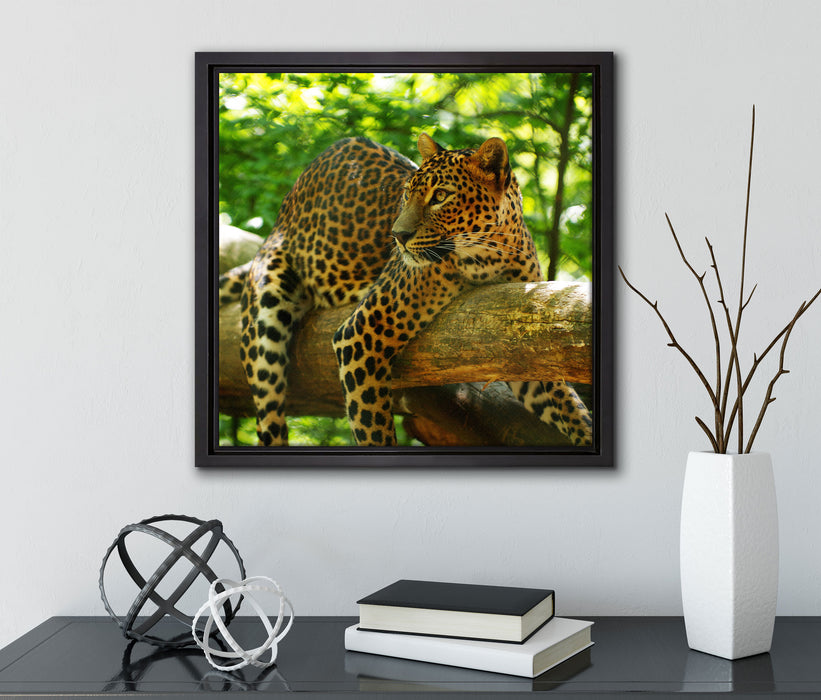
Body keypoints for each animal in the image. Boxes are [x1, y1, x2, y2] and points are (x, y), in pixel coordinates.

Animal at [220, 133, 593, 447]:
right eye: (406, 193)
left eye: (440, 196)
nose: (397, 236)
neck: (491, 256)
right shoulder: (360, 334)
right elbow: (372, 428)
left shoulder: (520, 342)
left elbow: (566, 403)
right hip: (266, 323)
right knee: (270, 415)